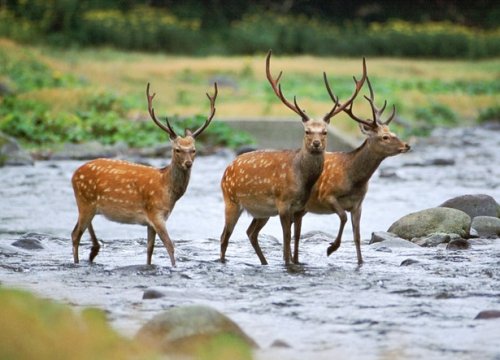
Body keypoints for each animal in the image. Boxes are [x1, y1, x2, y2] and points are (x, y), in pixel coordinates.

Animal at [70, 82, 217, 268]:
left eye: (194, 150)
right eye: (177, 150)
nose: (188, 163)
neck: (167, 189)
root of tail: (74, 174)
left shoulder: (151, 221)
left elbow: (150, 249)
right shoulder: (156, 213)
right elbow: (170, 246)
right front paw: (175, 267)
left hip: (90, 206)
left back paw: (92, 252)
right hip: (84, 202)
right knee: (75, 234)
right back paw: (77, 262)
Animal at [219, 50, 368, 264]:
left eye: (325, 131)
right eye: (307, 131)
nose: (316, 144)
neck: (302, 180)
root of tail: (227, 169)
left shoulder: (298, 207)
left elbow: (293, 238)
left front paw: (294, 261)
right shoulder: (283, 204)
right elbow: (287, 239)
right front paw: (288, 263)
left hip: (262, 212)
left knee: (250, 233)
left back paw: (264, 262)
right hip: (231, 200)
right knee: (224, 236)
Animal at [292, 76, 410, 264]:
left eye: (392, 132)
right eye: (385, 137)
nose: (407, 145)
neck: (354, 179)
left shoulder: (358, 205)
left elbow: (357, 236)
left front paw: (361, 262)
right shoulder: (327, 195)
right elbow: (343, 217)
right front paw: (331, 248)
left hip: (302, 208)